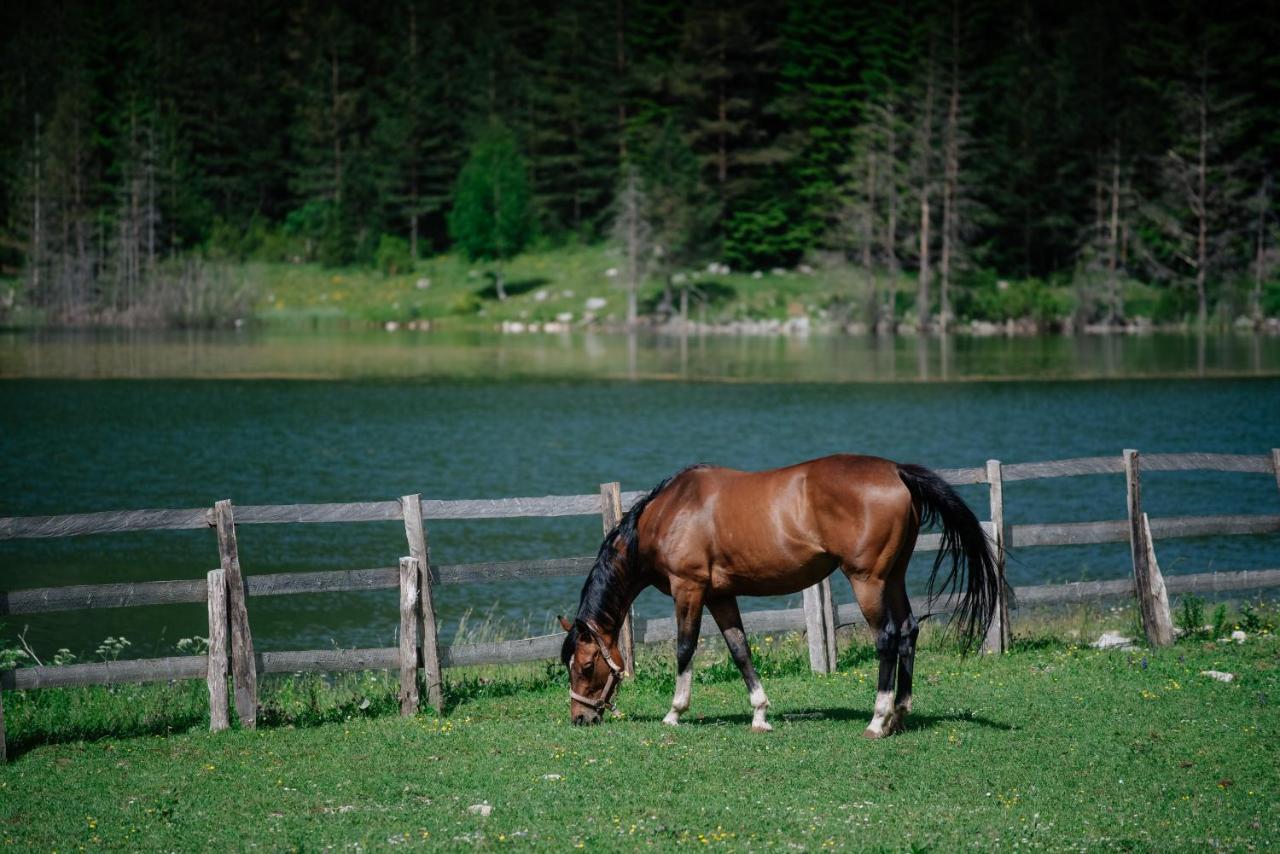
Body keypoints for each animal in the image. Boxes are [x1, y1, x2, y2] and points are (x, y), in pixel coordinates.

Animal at [560, 453, 998, 742]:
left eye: (585, 666)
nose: (580, 718)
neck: (669, 513)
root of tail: (896, 471)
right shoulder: (721, 596)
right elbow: (740, 650)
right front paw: (760, 713)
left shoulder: (690, 588)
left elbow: (685, 648)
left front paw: (674, 712)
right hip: (894, 578)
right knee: (908, 630)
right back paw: (900, 716)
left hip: (868, 581)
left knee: (888, 637)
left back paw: (877, 720)